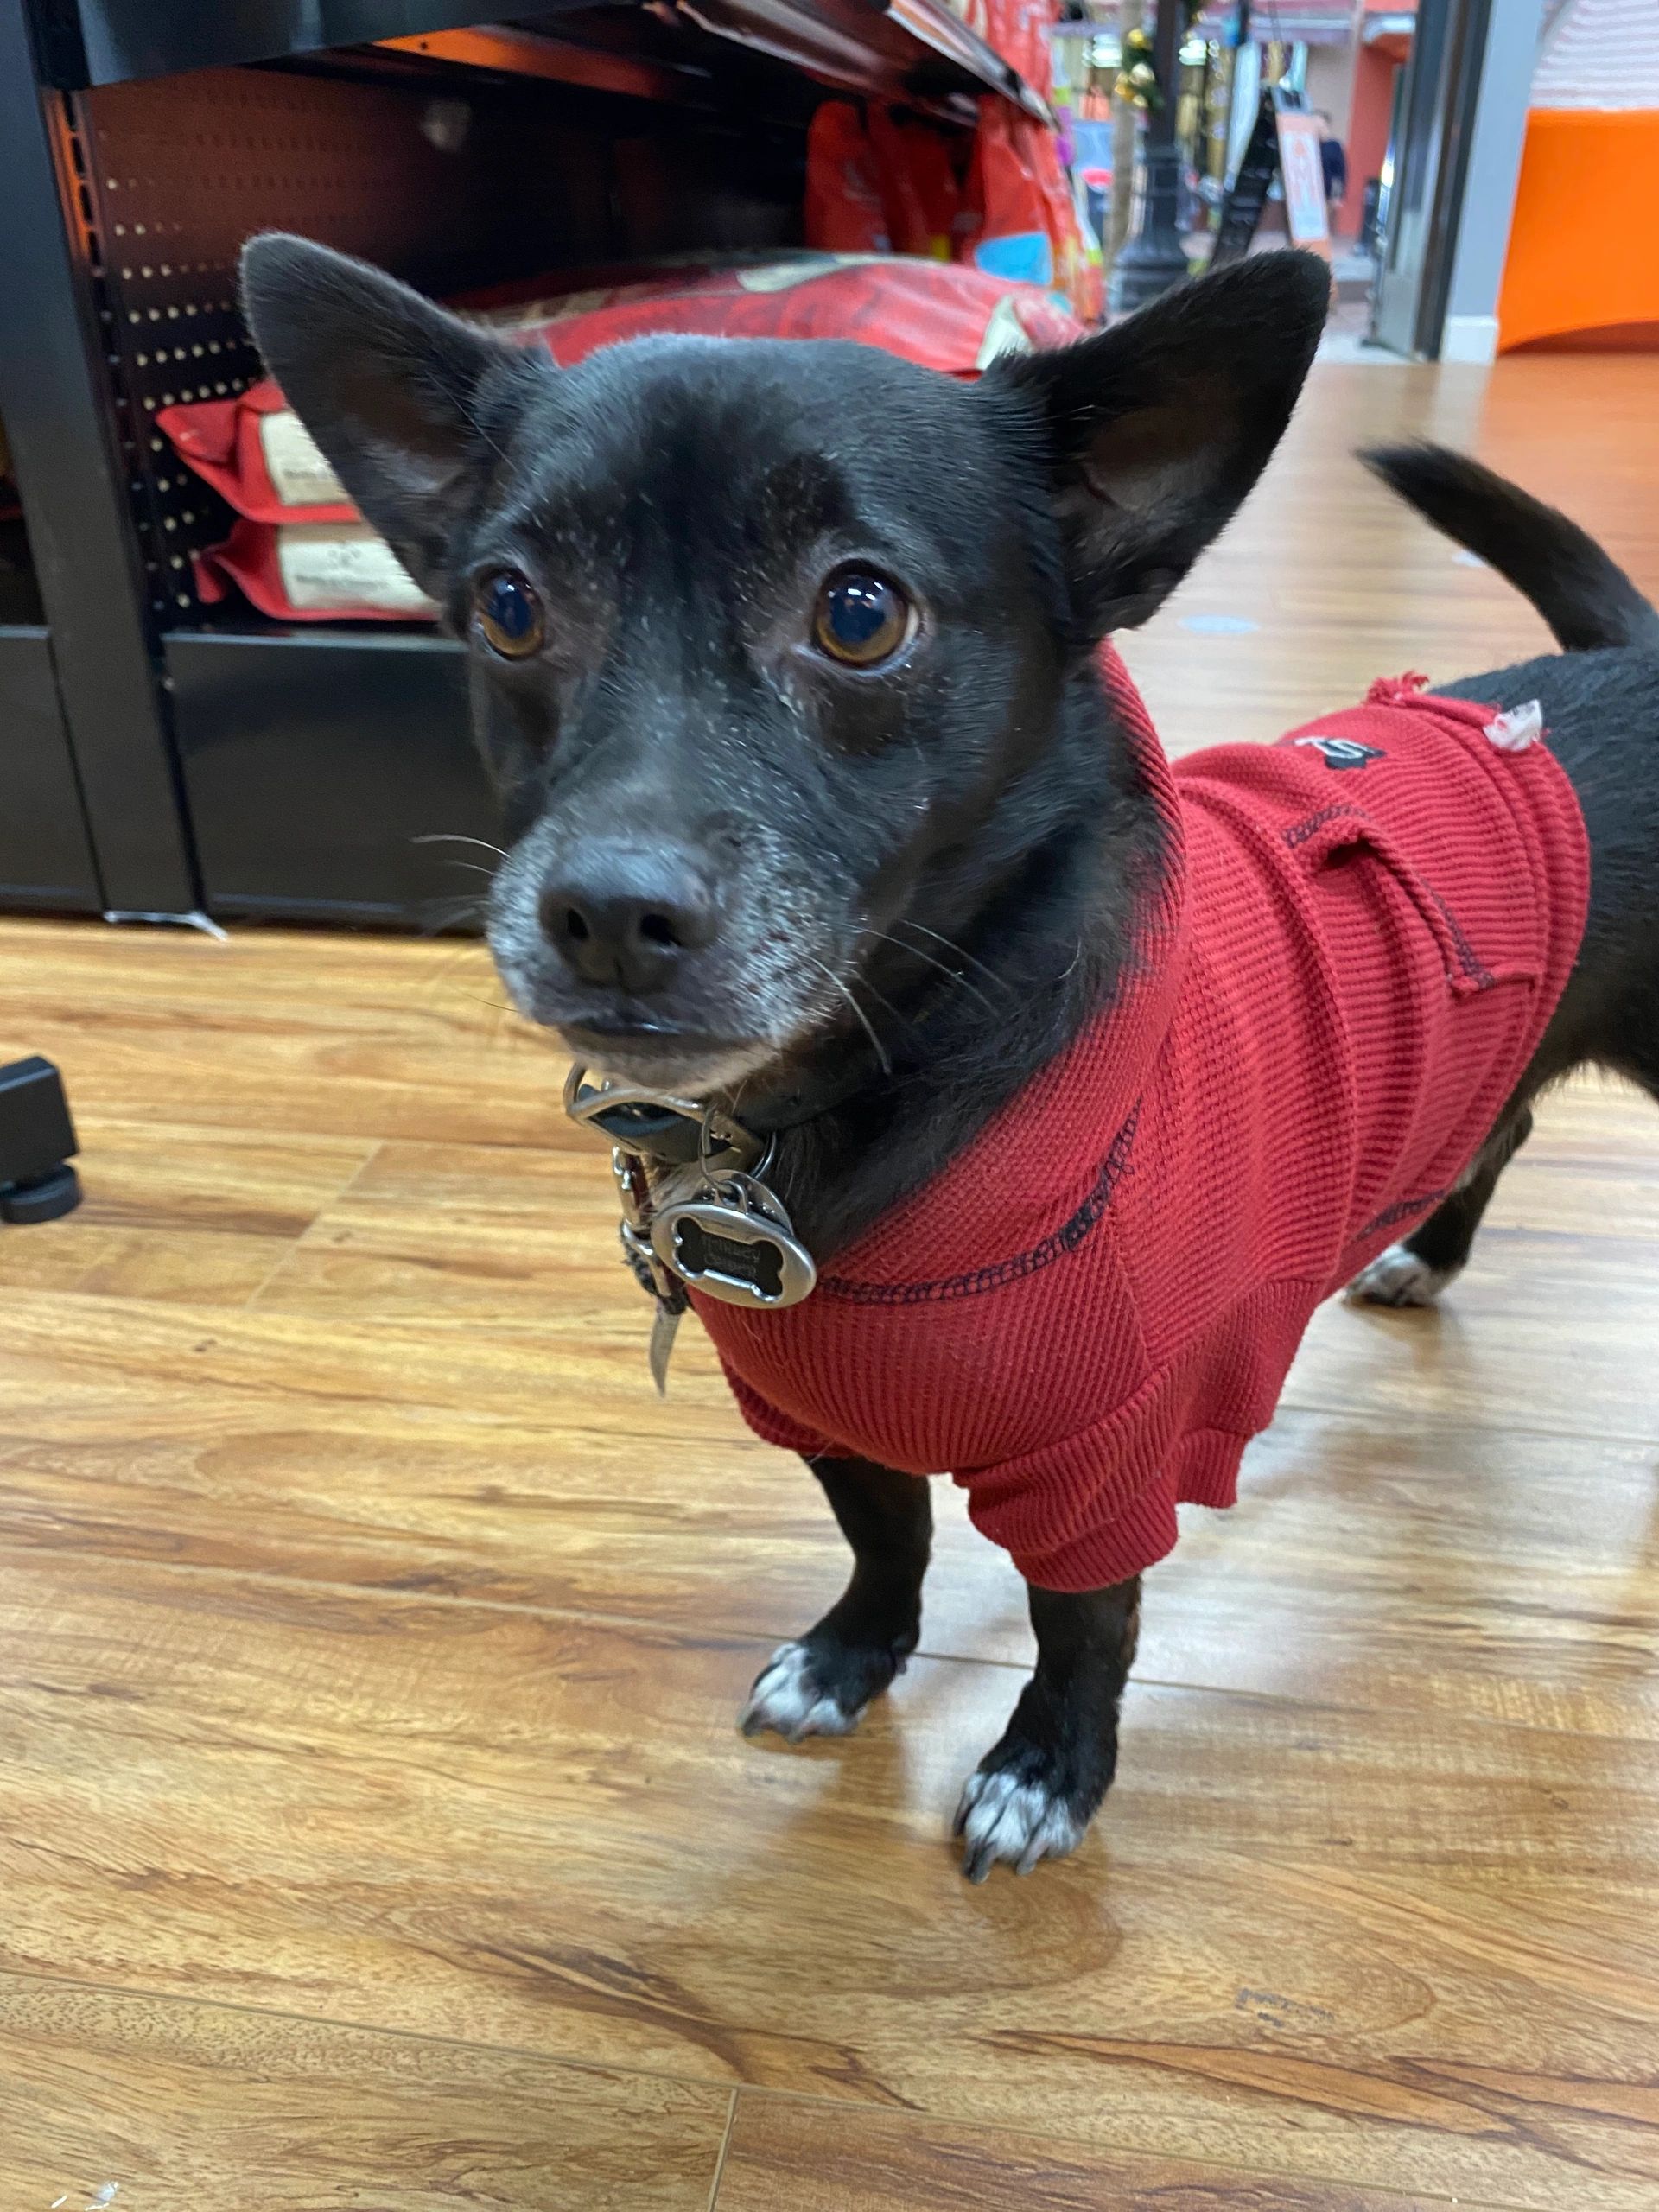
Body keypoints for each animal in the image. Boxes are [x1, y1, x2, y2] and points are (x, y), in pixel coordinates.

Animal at [241, 236, 1659, 1880]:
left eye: (860, 613)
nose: (604, 914)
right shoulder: (823, 1423)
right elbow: (887, 1538)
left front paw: (1050, 1769)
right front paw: (854, 1656)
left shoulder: (1102, 1470)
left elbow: (1084, 1626)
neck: (861, 1091)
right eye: (510, 608)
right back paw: (1426, 1253)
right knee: (1504, 1128)